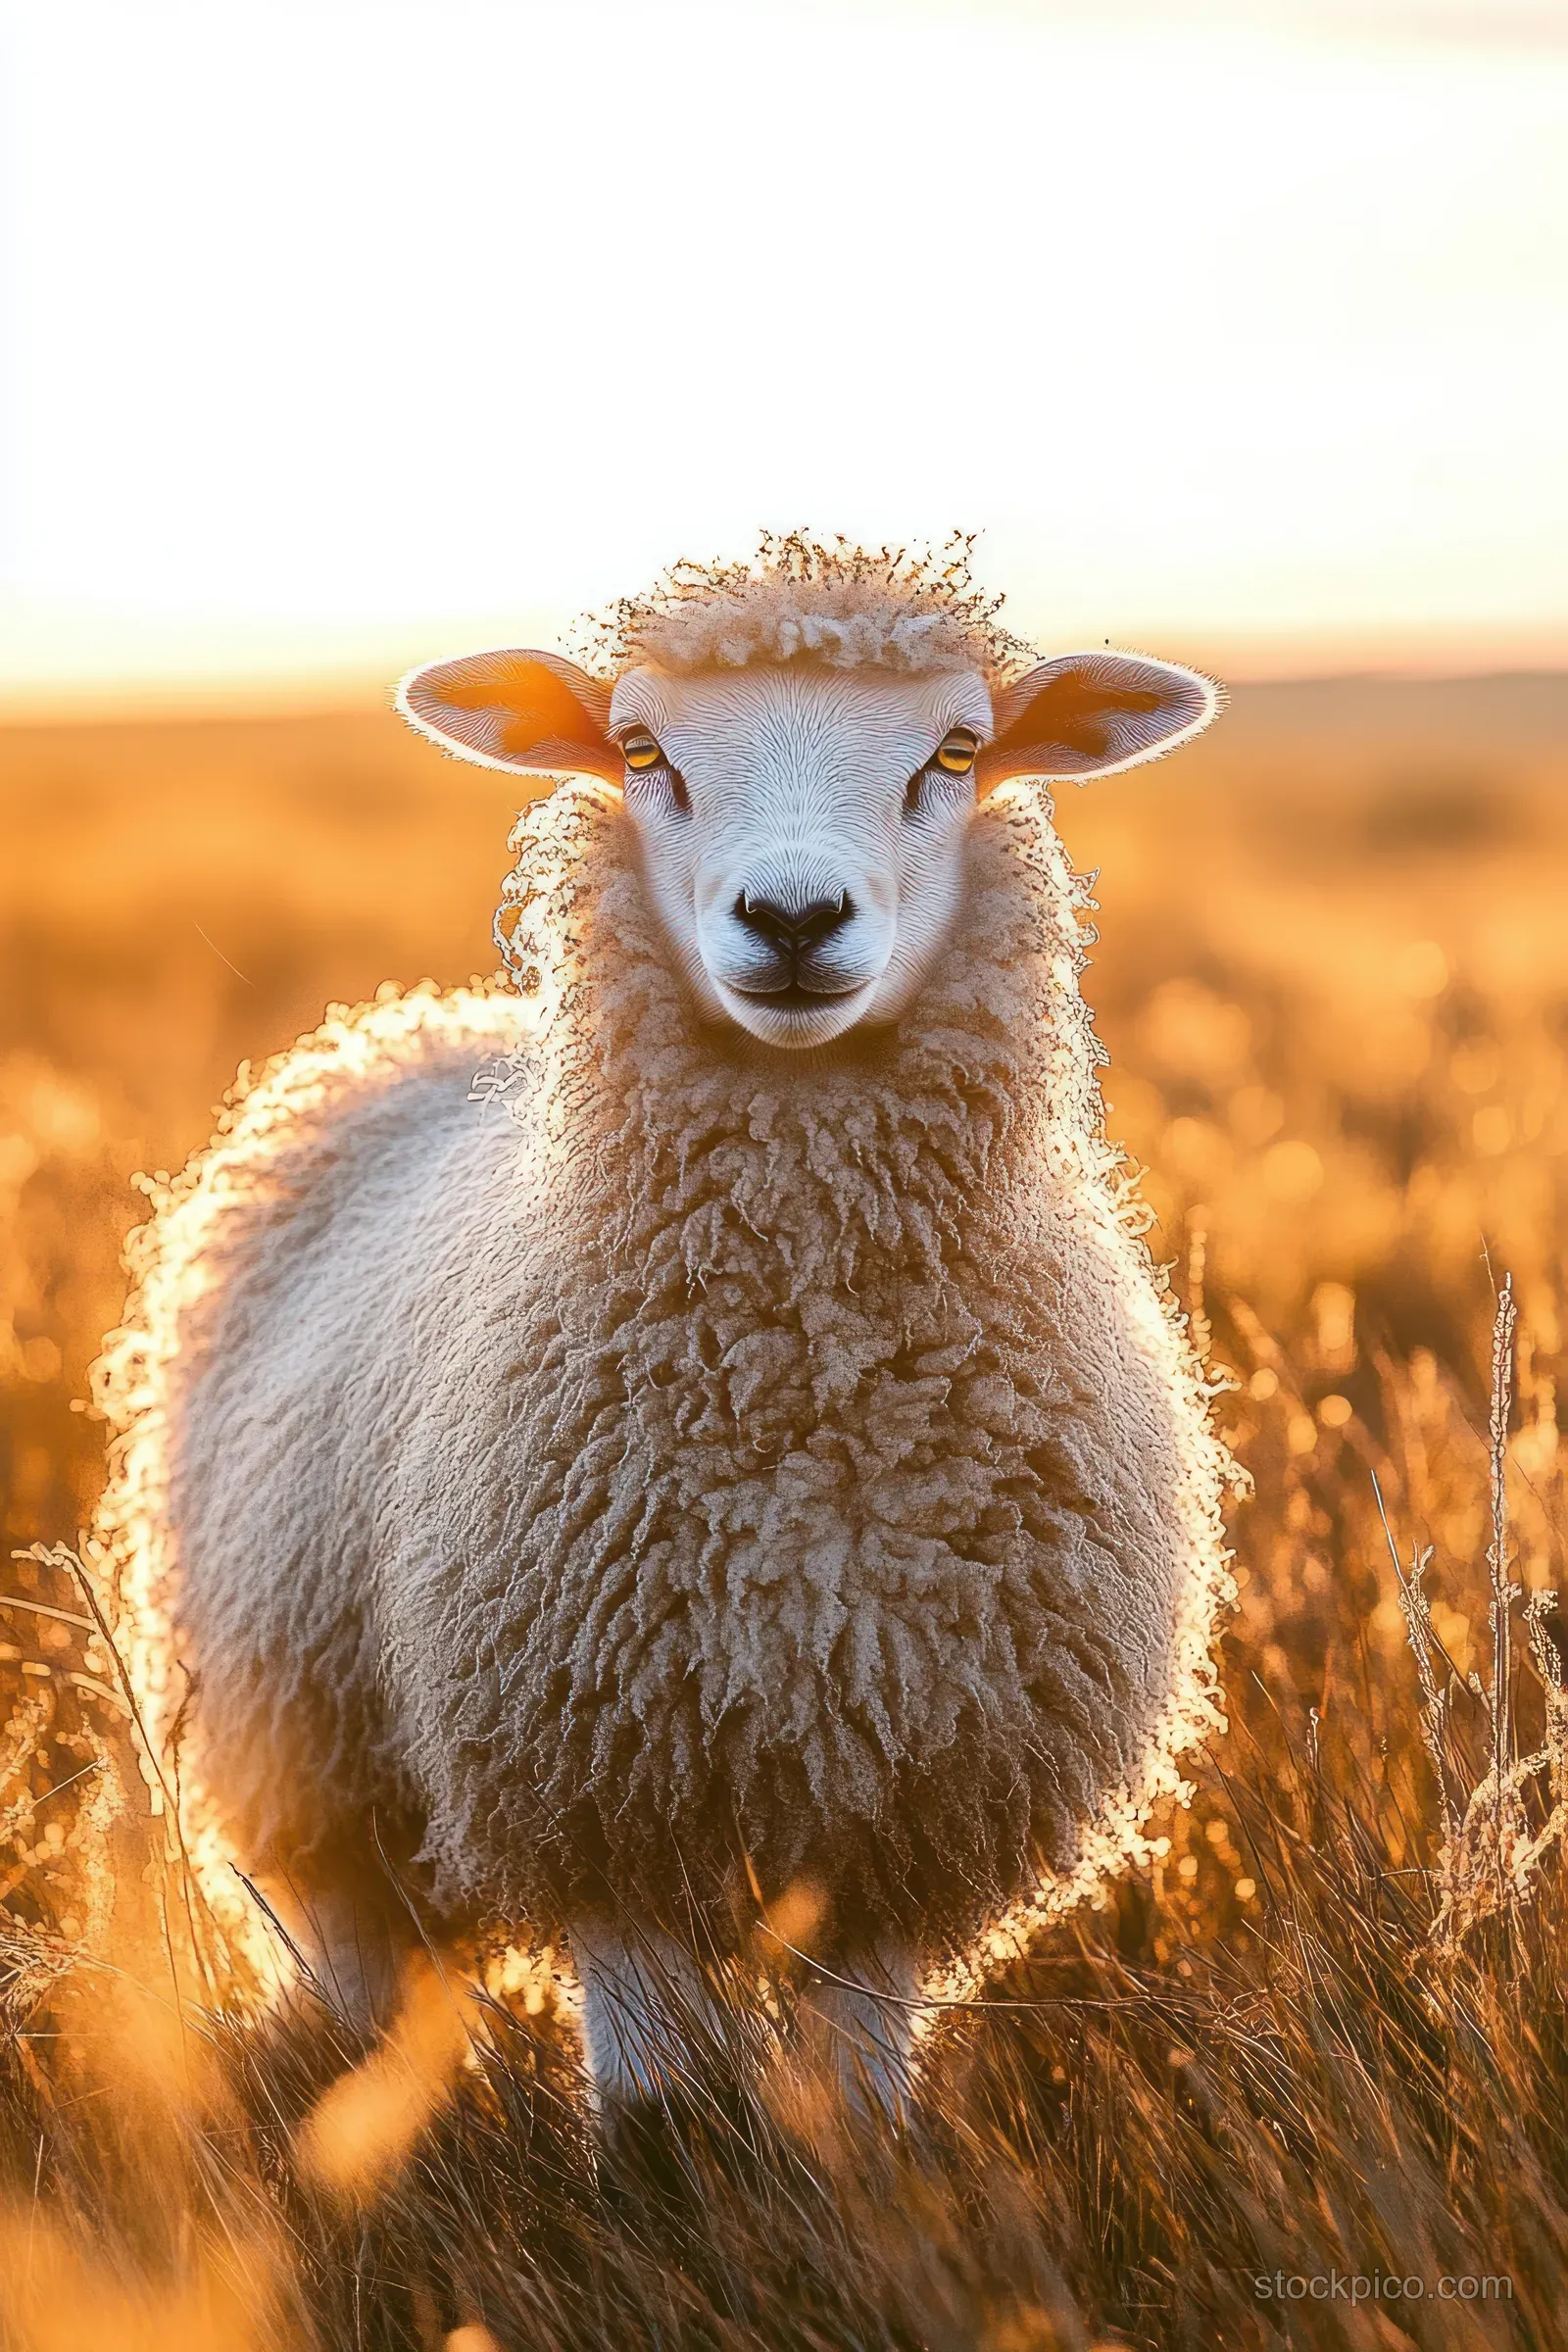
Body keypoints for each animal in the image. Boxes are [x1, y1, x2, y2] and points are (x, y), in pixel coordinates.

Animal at [91, 537, 1235, 2124]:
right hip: (301, 1740)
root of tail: (409, 1024)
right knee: (360, 1962)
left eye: (955, 752)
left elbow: (858, 2102)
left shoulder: (902, 1811)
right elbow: (652, 2120)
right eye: (643, 750)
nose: (795, 920)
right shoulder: (604, 1796)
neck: (806, 1366)